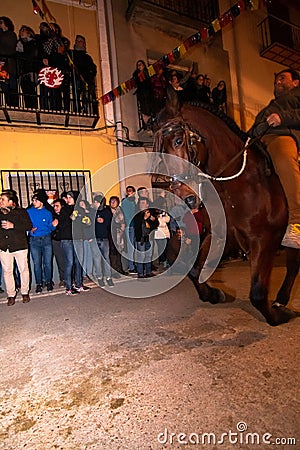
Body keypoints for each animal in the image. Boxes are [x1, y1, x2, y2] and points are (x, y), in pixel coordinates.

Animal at [154, 93, 300, 326]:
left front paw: (279, 316)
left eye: (178, 141)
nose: (181, 200)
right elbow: (194, 270)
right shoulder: (220, 235)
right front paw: (214, 294)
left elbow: (258, 293)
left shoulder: (265, 239)